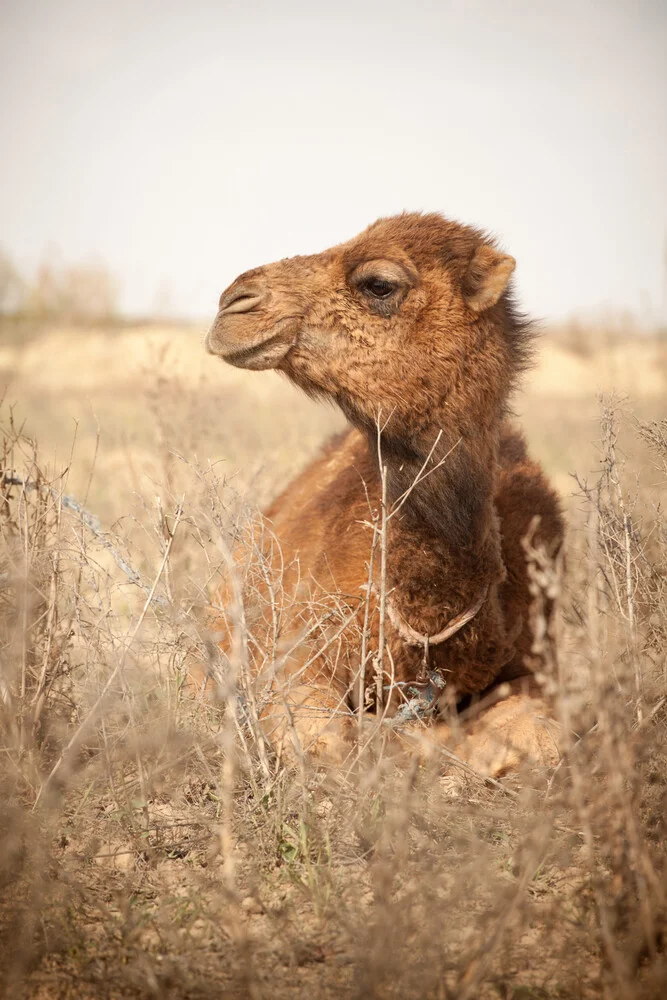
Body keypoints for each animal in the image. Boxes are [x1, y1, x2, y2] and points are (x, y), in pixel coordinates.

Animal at [202, 213, 564, 780]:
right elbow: (325, 738)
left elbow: (535, 741)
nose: (234, 302)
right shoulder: (296, 652)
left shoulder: (539, 660)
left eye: (379, 284)